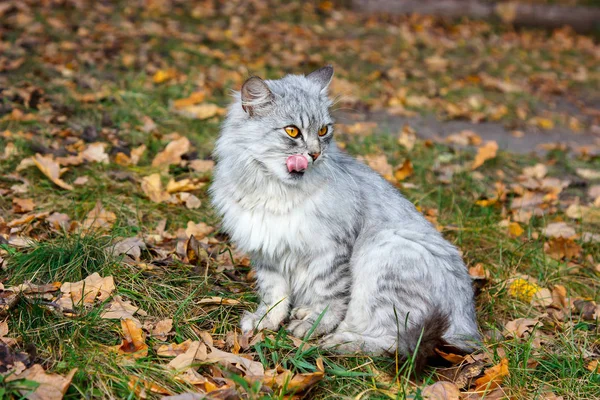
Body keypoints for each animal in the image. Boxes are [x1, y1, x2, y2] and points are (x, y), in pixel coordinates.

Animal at [209, 66, 480, 368]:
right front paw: (265, 322)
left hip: (385, 251)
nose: (315, 154)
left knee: (394, 342)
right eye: (292, 131)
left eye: (323, 130)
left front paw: (314, 326)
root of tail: (468, 326)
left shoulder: (331, 252)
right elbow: (274, 297)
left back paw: (339, 341)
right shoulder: (268, 253)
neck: (274, 194)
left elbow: (329, 299)